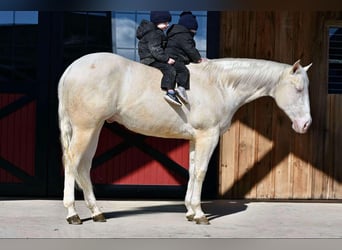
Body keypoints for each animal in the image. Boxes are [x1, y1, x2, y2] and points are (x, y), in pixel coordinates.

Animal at [57, 52, 312, 225]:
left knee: (84, 166)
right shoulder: (208, 136)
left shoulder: (195, 138)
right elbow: (200, 172)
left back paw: (96, 212)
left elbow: (191, 171)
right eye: (299, 89)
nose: (305, 124)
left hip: (94, 129)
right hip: (85, 128)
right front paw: (199, 214)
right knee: (71, 163)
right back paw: (72, 214)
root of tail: (71, 69)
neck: (219, 85)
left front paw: (189, 211)